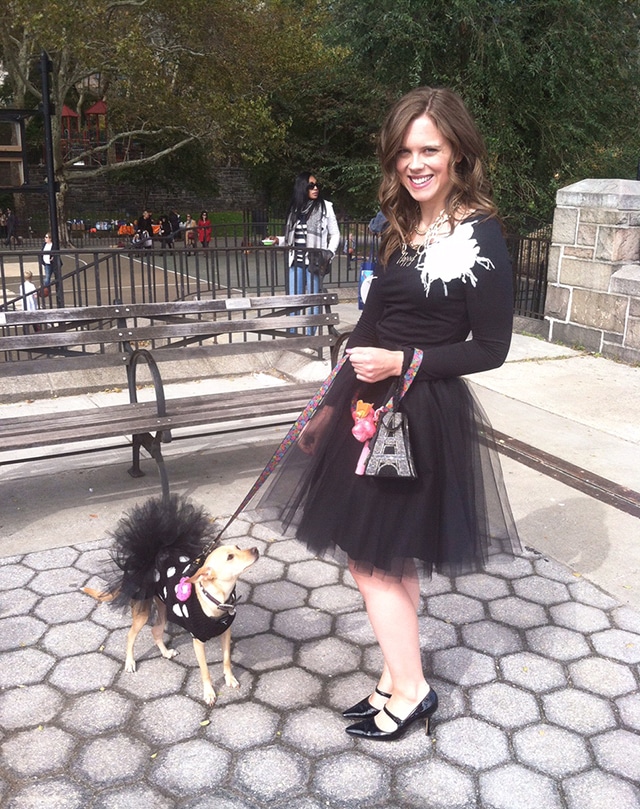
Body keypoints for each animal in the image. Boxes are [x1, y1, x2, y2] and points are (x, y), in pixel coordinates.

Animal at [82, 492, 258, 700]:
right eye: (230, 557)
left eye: (238, 547)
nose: (255, 549)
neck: (217, 599)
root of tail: (148, 560)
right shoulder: (198, 641)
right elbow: (205, 670)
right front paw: (208, 692)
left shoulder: (225, 633)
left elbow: (226, 659)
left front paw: (230, 679)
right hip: (143, 613)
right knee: (131, 635)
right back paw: (130, 662)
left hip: (165, 608)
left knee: (155, 630)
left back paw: (165, 653)